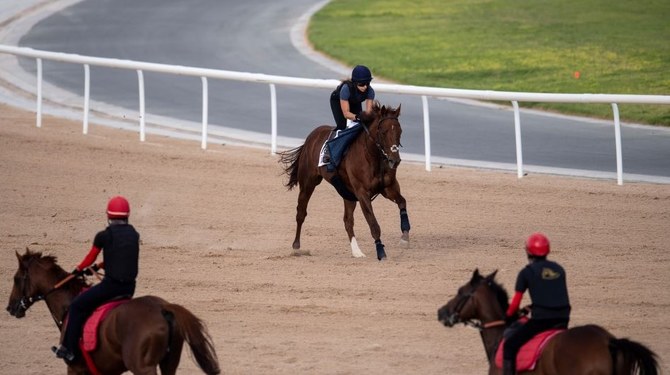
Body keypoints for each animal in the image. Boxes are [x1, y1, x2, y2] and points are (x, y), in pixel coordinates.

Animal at [5, 250, 220, 375]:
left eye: (16, 278)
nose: (10, 307)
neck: (69, 303)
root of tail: (162, 308)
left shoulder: (75, 368)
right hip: (169, 364)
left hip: (143, 367)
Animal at [280, 102, 412, 262]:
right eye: (383, 132)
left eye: (400, 131)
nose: (395, 160)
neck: (372, 156)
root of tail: (311, 137)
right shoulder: (362, 193)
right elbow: (374, 225)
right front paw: (381, 253)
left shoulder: (388, 187)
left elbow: (402, 202)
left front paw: (404, 237)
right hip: (308, 183)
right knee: (301, 212)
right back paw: (296, 246)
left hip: (347, 193)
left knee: (348, 220)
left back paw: (357, 252)